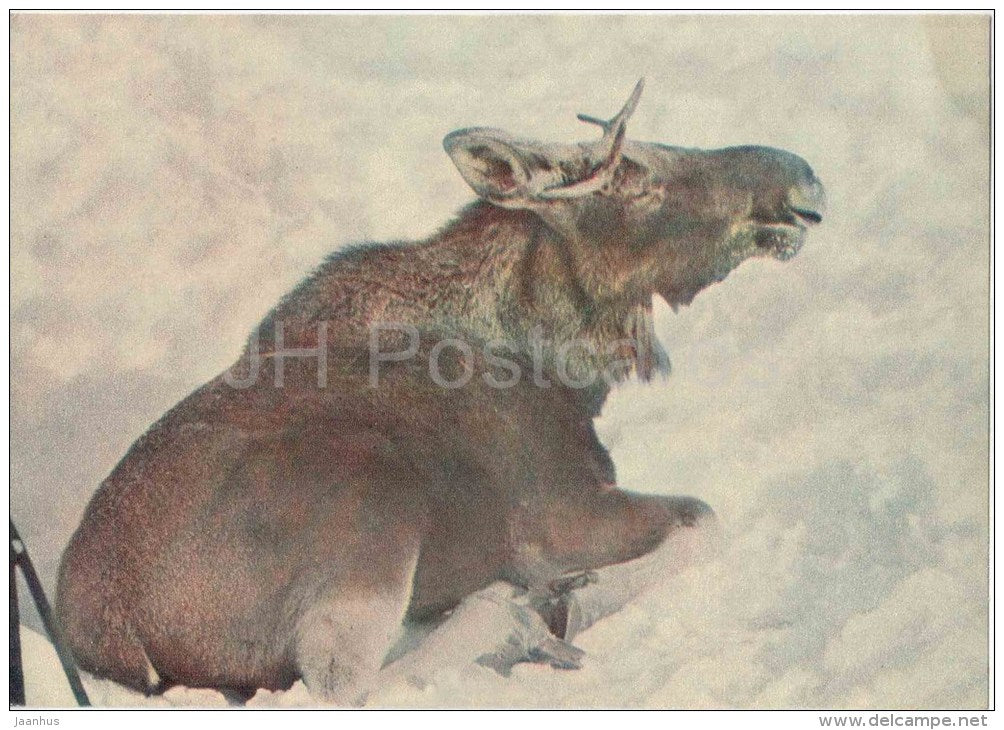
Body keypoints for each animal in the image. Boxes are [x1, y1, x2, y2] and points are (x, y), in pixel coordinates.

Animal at [55, 80, 825, 705]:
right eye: (634, 175)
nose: (803, 182)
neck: (558, 364)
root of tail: (107, 632)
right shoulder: (556, 515)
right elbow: (703, 518)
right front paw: (570, 601)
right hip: (373, 501)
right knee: (342, 690)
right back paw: (507, 616)